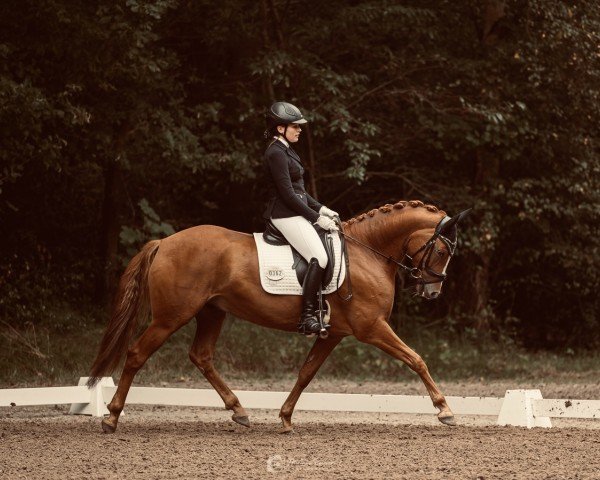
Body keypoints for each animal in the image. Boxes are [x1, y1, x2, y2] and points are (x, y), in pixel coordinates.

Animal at [86, 197, 468, 434]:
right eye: (443, 250)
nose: (432, 292)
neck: (368, 253)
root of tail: (164, 242)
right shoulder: (371, 327)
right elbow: (416, 359)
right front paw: (445, 410)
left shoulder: (335, 333)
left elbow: (305, 374)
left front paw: (285, 418)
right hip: (170, 317)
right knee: (136, 354)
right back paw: (112, 418)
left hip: (211, 312)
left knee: (201, 356)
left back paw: (239, 411)